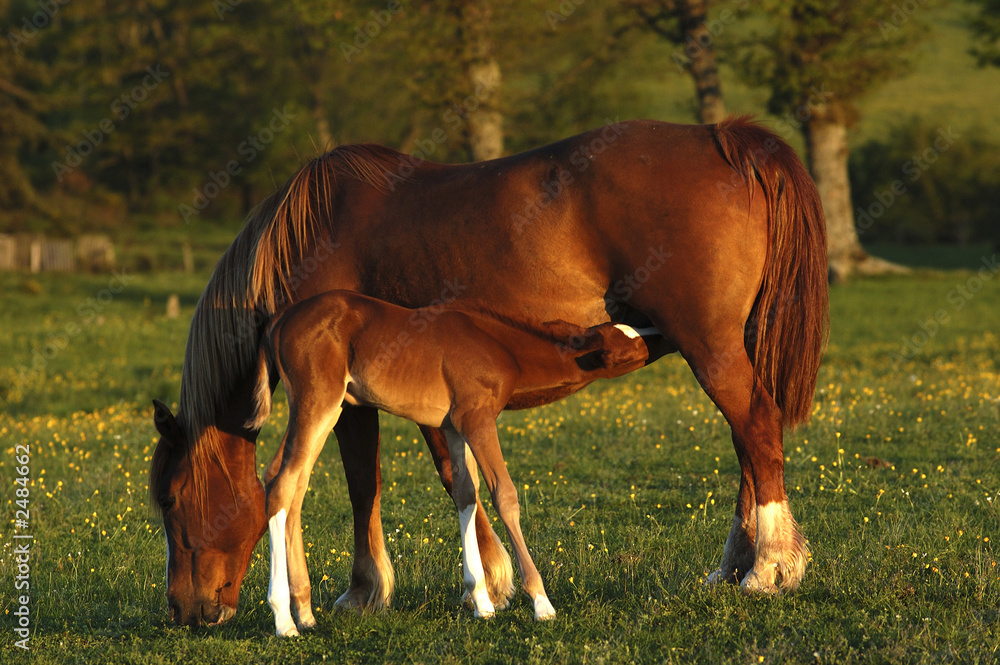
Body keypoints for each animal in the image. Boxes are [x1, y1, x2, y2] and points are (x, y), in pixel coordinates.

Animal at [248, 290, 648, 632]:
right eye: (631, 347)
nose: (652, 336)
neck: (501, 346)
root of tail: (280, 318)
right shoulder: (478, 418)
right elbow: (505, 496)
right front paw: (541, 602)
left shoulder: (454, 426)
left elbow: (465, 494)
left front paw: (482, 602)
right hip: (318, 402)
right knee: (282, 483)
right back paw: (283, 620)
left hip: (322, 410)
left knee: (289, 483)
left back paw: (305, 613)